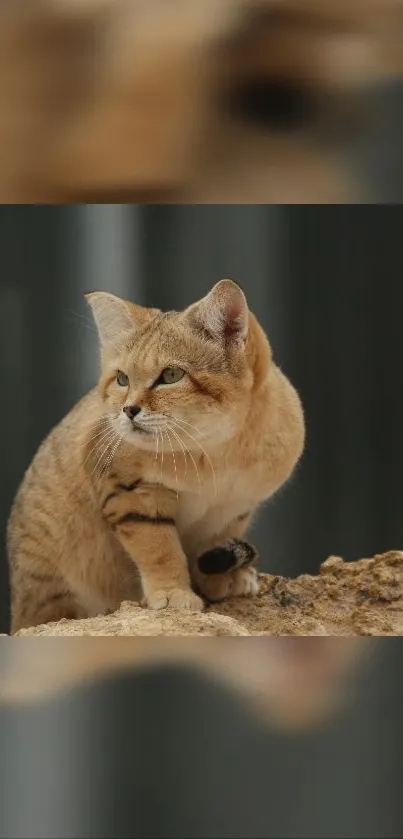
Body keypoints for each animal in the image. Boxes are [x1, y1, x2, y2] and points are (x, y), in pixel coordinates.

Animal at [7, 278, 306, 632]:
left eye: (171, 375)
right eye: (122, 379)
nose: (128, 410)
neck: (217, 452)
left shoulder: (234, 508)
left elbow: (214, 542)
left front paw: (221, 579)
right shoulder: (131, 494)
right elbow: (159, 548)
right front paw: (173, 592)